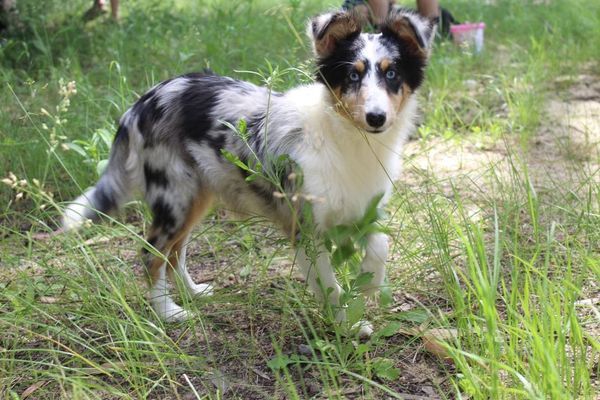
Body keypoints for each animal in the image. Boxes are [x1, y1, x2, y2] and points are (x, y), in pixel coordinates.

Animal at [62, 9, 436, 336]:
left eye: (392, 74)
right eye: (353, 76)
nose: (376, 117)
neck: (345, 137)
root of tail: (140, 103)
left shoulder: (362, 207)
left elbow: (380, 244)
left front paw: (371, 281)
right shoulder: (305, 227)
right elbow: (330, 286)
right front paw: (347, 326)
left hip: (196, 195)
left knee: (175, 252)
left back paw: (193, 293)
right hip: (174, 195)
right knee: (151, 253)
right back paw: (168, 312)